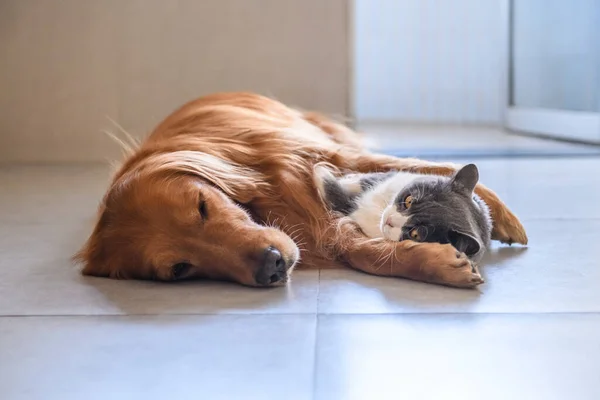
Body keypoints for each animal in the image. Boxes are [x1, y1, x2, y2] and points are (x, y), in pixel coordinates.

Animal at [314, 163, 492, 260]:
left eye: (416, 234)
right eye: (408, 200)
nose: (388, 220)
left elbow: (337, 196)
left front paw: (319, 170)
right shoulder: (387, 178)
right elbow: (363, 179)